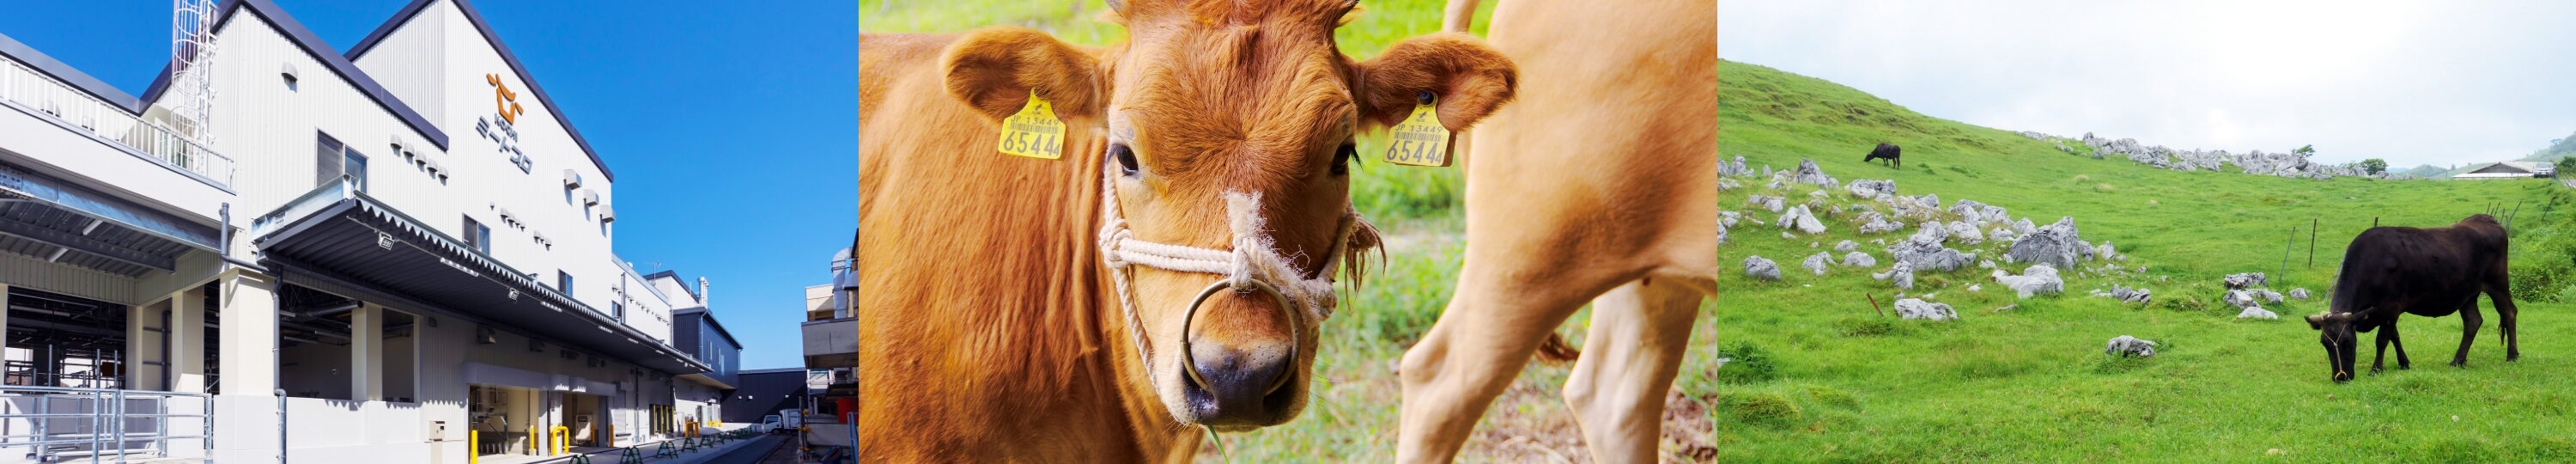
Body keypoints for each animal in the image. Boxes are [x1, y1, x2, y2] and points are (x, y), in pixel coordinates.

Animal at [2308, 214, 2524, 382]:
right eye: (2325, 344)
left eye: (2347, 342)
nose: (2340, 377)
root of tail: (2486, 219)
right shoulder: (2384, 311)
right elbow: (2395, 336)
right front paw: (2403, 363)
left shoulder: (2390, 308)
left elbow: (2382, 339)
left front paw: (2376, 369)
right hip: (2467, 295)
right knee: (2473, 322)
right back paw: (2458, 360)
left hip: (2498, 284)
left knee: (2509, 312)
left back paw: (2512, 355)